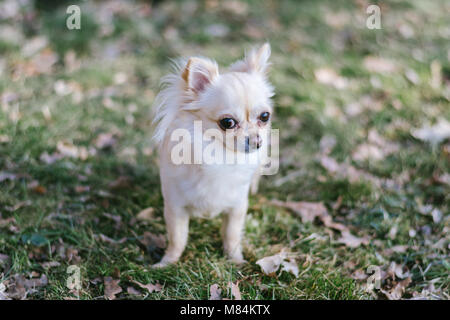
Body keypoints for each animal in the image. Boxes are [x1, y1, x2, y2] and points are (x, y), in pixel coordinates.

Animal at [152, 43, 274, 268]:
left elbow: (232, 236)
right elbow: (177, 239)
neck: (220, 155)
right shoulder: (175, 207)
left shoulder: (237, 207)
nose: (257, 142)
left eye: (264, 117)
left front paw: (236, 260)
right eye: (228, 122)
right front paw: (167, 262)